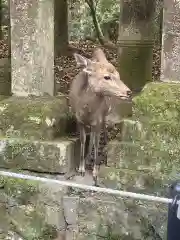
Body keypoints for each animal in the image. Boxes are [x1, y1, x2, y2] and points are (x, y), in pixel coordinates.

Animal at [69, 47, 132, 186]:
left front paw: (95, 173)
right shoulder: (79, 120)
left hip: (105, 116)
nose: (128, 92)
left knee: (103, 132)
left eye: (119, 76)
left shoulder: (97, 120)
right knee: (92, 137)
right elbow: (83, 141)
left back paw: (105, 151)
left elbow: (97, 143)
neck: (87, 111)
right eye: (106, 77)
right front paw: (81, 169)